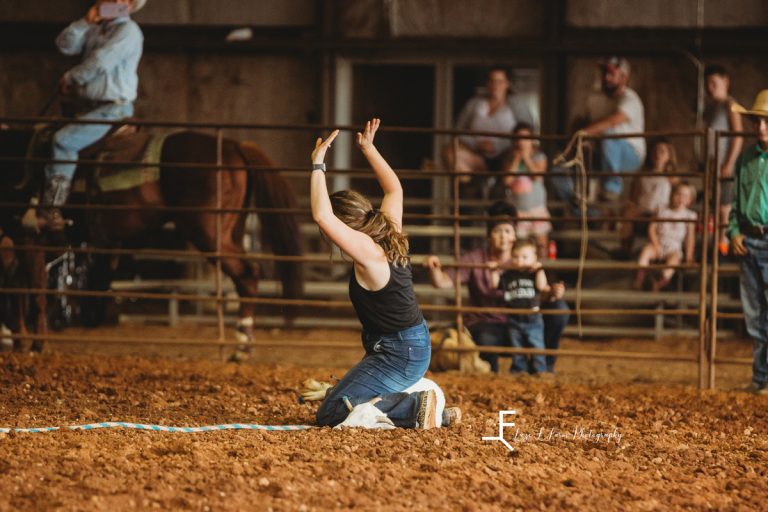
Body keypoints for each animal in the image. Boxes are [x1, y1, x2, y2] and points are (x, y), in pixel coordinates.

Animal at [0, 126, 304, 354]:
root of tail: (231, 145)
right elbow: (16, 289)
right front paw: (19, 340)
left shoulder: (28, 237)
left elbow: (33, 293)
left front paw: (37, 344)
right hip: (231, 229)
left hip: (209, 233)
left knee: (247, 274)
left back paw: (241, 345)